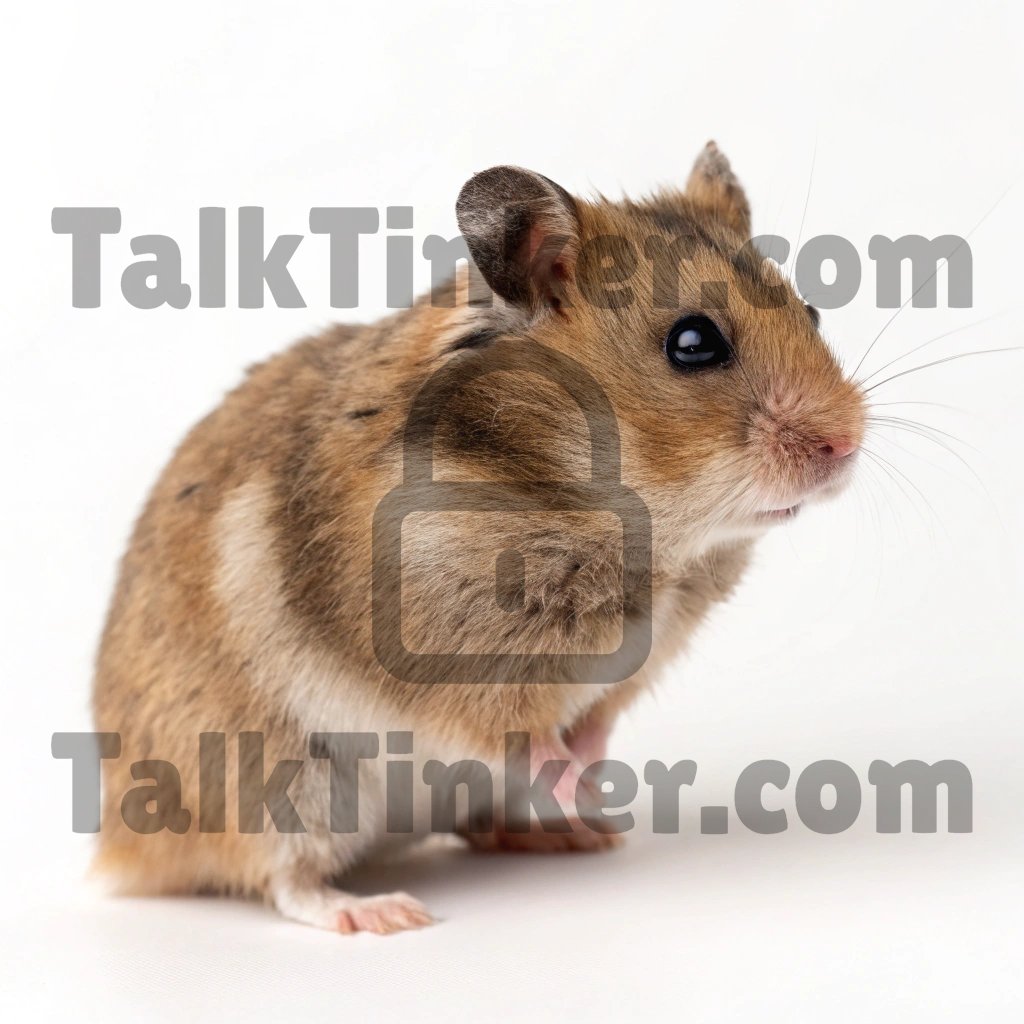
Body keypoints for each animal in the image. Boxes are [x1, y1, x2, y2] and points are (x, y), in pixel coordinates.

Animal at [92, 142, 866, 934]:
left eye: (811, 309)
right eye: (693, 342)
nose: (847, 446)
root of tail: (123, 844)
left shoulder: (633, 668)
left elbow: (594, 720)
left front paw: (595, 789)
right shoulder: (452, 664)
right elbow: (523, 737)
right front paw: (585, 787)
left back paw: (575, 837)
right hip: (277, 778)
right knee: (286, 878)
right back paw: (384, 912)